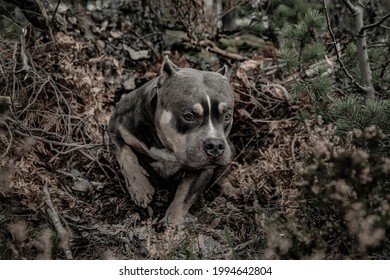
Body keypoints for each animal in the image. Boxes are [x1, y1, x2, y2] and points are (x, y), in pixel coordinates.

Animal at [107, 56, 238, 228]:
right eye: (188, 116)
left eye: (227, 116)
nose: (215, 146)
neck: (167, 147)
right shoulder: (115, 129)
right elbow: (126, 155)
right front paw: (140, 187)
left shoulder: (202, 170)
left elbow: (185, 196)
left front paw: (172, 224)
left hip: (230, 148)